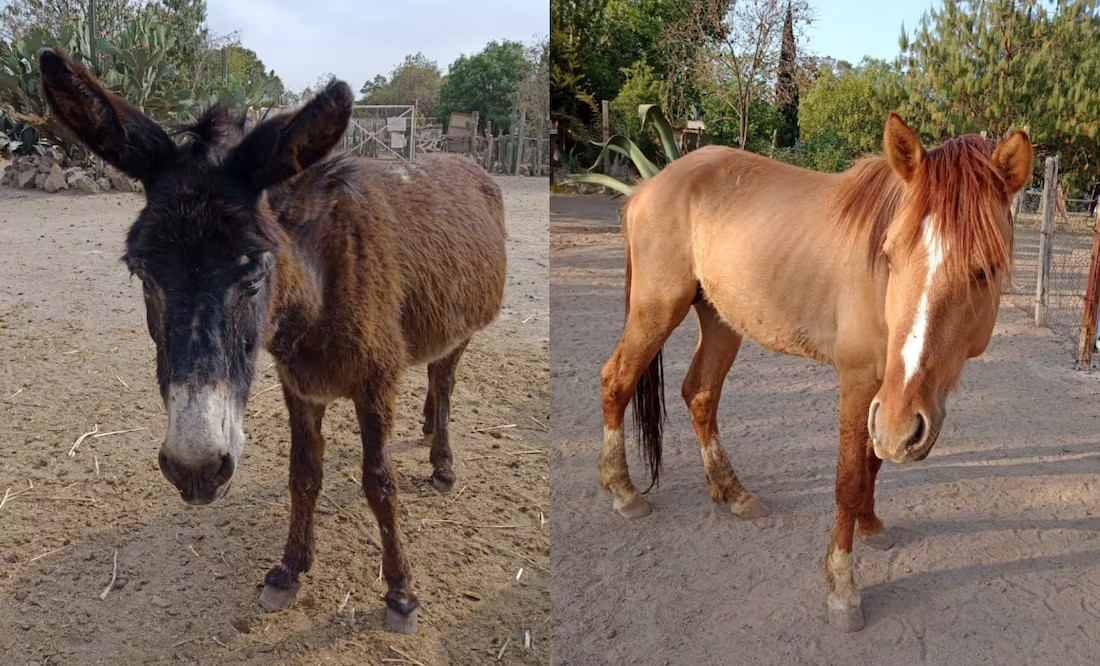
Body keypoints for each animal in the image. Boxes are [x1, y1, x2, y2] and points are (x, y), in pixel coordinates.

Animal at [38, 49, 507, 634]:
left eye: (256, 274)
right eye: (142, 275)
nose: (196, 470)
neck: (319, 289)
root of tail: (467, 164)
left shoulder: (376, 382)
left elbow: (380, 484)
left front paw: (401, 593)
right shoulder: (299, 385)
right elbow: (303, 474)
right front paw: (289, 570)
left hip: (463, 329)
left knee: (444, 380)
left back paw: (441, 461)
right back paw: (423, 429)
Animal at [597, 113, 1031, 631]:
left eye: (985, 270)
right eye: (890, 256)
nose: (904, 428)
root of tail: (650, 184)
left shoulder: (887, 398)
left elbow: (873, 461)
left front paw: (871, 526)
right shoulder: (861, 382)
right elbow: (848, 477)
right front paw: (842, 587)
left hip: (721, 320)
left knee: (699, 394)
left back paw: (733, 493)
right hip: (656, 309)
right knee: (616, 382)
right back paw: (623, 492)